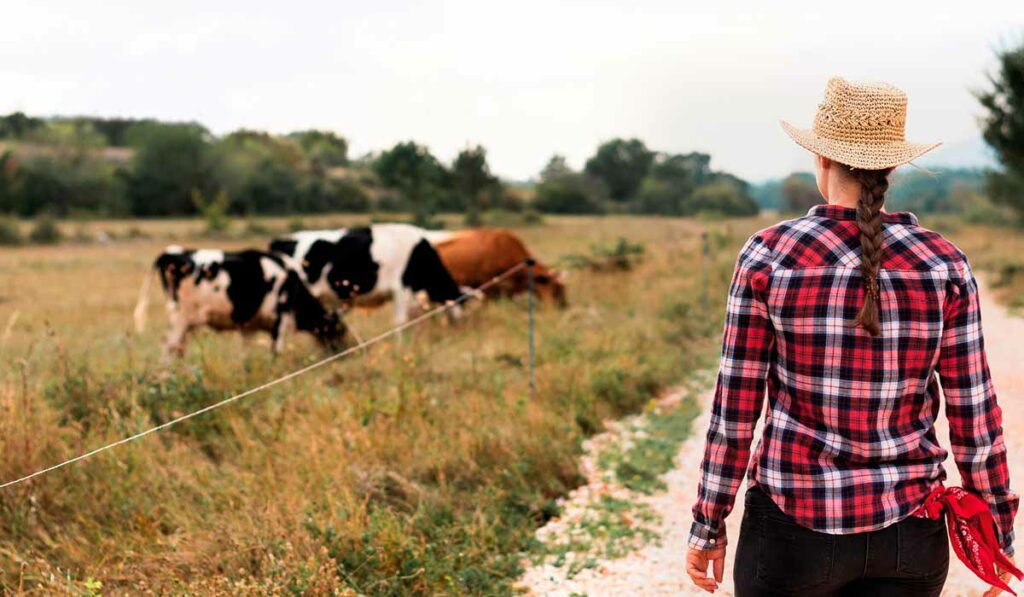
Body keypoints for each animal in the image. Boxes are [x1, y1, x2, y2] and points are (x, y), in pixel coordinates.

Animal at [133, 245, 348, 358]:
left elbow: (246, 355)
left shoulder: (249, 328)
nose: (346, 351)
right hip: (179, 317)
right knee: (168, 347)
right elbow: (276, 352)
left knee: (177, 349)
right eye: (340, 330)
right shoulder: (280, 319)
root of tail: (173, 252)